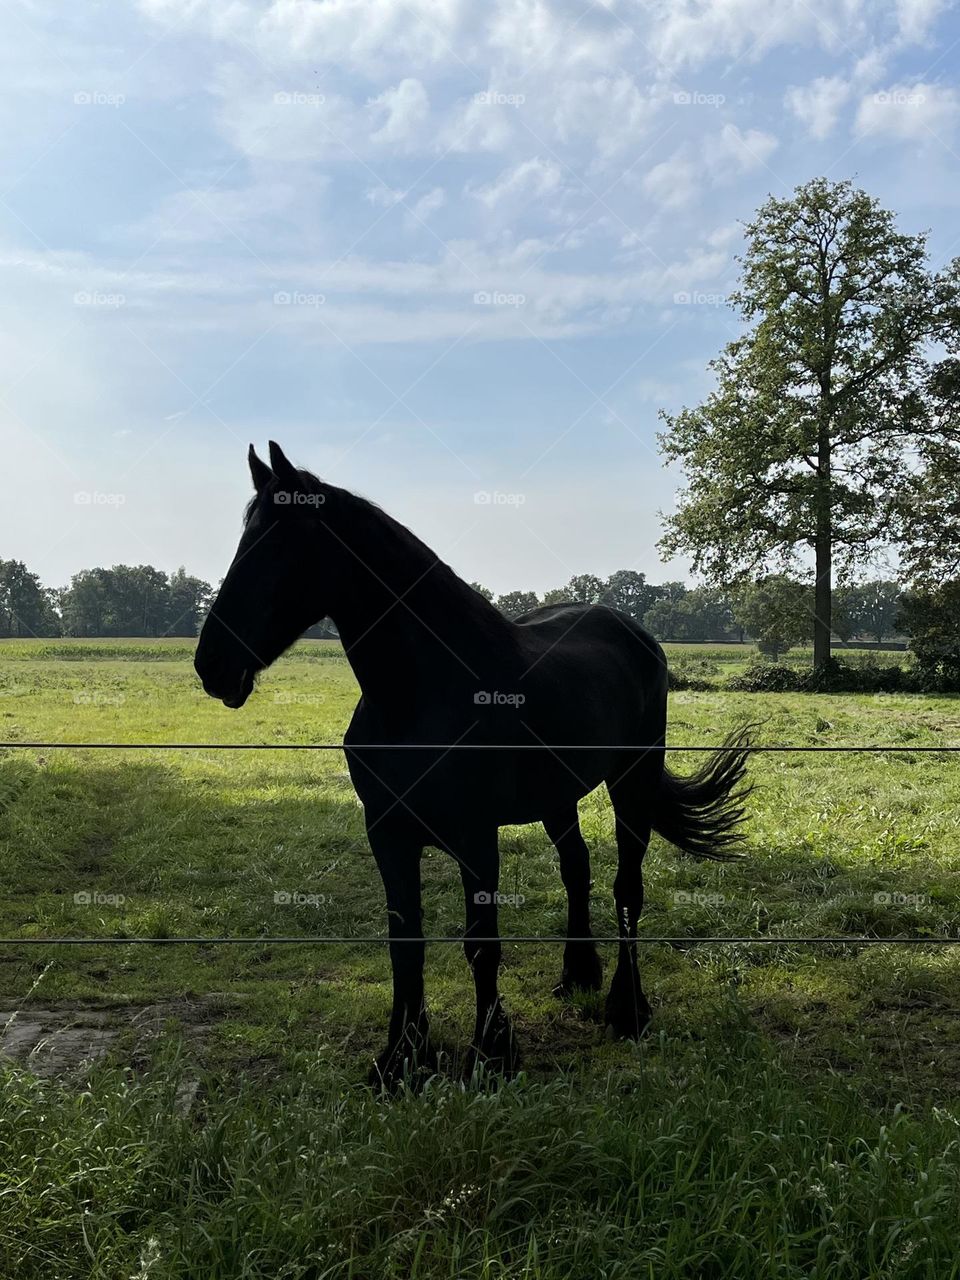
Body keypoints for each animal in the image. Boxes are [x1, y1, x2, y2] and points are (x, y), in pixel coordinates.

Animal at [194, 441, 751, 1087]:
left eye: (282, 544)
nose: (212, 664)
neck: (420, 695)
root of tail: (636, 633)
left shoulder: (475, 836)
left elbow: (481, 943)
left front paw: (491, 1052)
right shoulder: (387, 833)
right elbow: (404, 942)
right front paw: (400, 1057)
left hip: (631, 781)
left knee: (626, 888)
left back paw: (626, 1008)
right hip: (558, 797)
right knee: (577, 869)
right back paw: (576, 974)